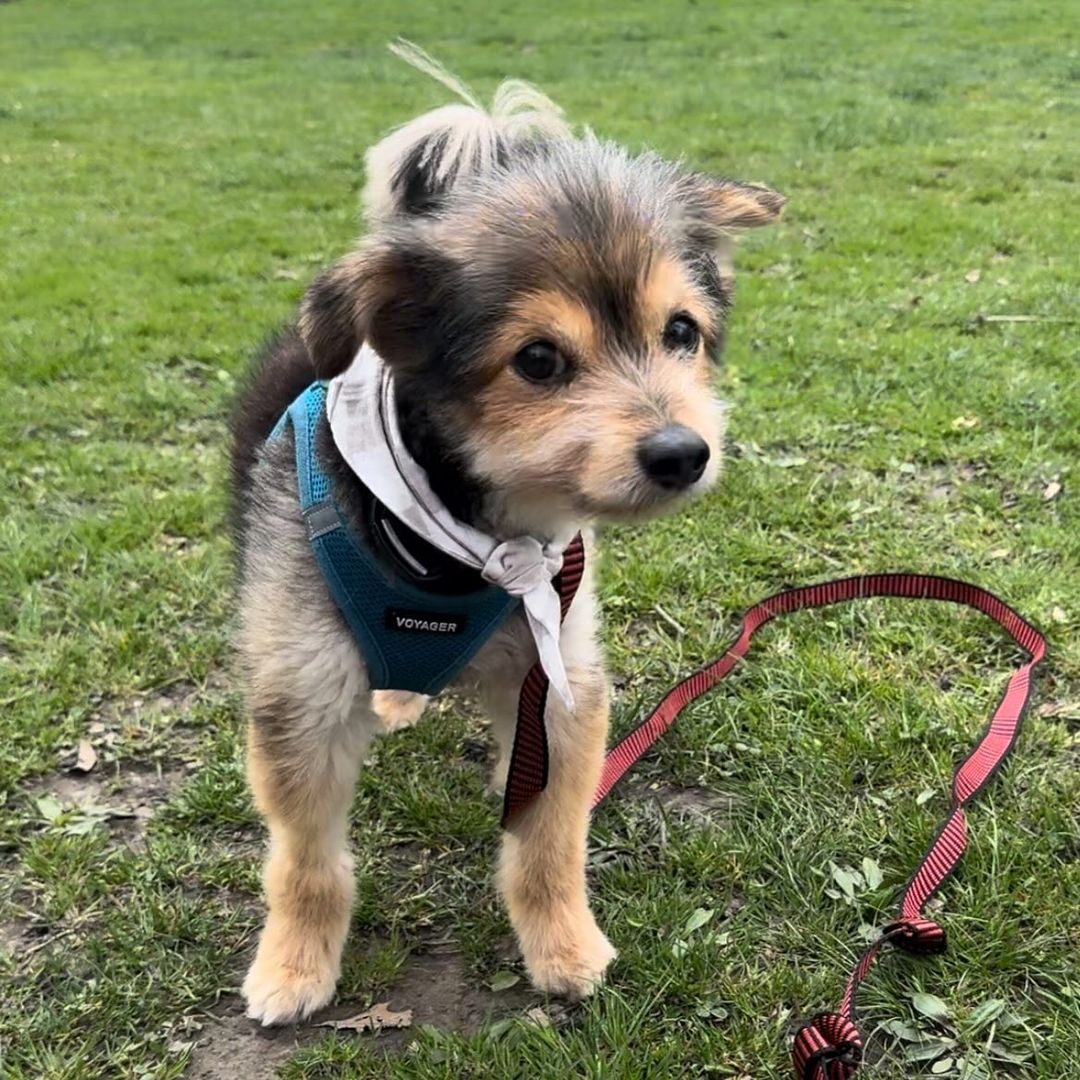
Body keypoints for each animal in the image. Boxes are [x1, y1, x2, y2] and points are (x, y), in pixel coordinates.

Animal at [232, 46, 781, 1023]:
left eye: (680, 332)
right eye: (538, 359)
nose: (682, 452)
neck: (461, 540)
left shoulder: (556, 674)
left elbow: (549, 839)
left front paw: (563, 945)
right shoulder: (301, 691)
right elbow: (308, 860)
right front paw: (293, 966)